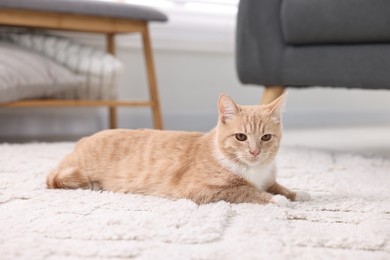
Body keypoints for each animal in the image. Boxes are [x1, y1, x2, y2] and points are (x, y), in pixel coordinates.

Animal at [48, 94, 310, 207]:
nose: (255, 152)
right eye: (241, 137)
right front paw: (276, 199)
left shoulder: (267, 179)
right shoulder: (199, 189)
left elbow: (276, 185)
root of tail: (81, 141)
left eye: (266, 137)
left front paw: (295, 193)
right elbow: (245, 191)